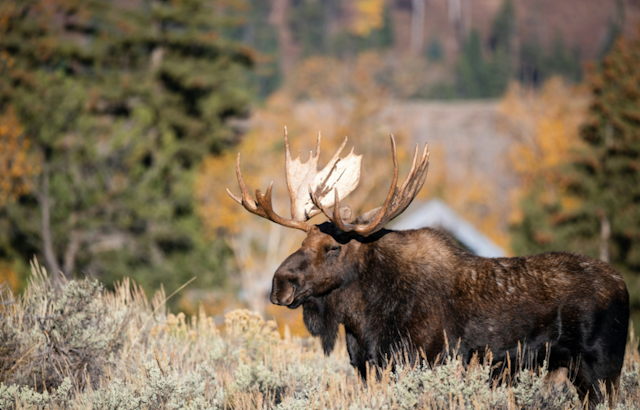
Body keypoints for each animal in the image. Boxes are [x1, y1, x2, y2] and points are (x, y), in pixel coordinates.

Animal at [227, 130, 629, 405]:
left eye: (331, 248)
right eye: (301, 244)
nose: (280, 284)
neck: (364, 320)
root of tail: (623, 285)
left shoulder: (426, 360)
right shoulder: (367, 366)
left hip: (602, 367)